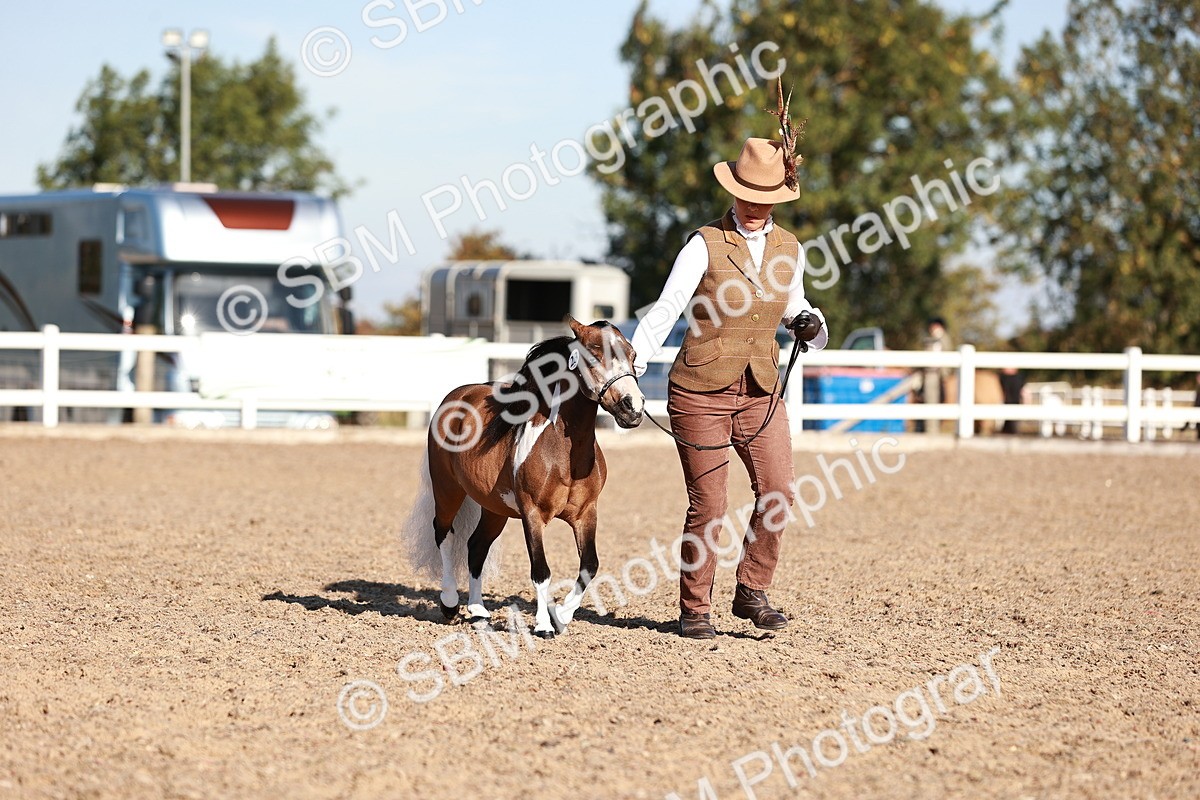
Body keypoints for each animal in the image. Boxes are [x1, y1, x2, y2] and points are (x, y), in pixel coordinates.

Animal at [400, 318, 645, 638]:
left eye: (633, 354)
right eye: (593, 353)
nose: (634, 407)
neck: (564, 454)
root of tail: (456, 396)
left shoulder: (586, 513)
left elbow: (589, 565)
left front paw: (561, 615)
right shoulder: (533, 514)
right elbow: (541, 571)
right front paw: (543, 625)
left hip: (495, 509)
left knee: (476, 547)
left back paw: (478, 612)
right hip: (447, 490)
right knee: (444, 535)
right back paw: (450, 603)